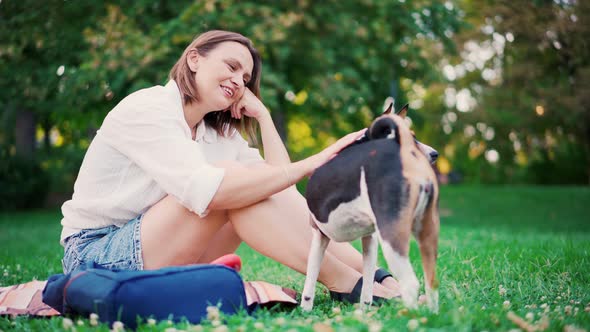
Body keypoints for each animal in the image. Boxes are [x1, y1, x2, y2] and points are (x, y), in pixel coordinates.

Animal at [302, 104, 442, 312]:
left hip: (392, 238)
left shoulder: (320, 236)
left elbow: (310, 278)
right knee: (431, 282)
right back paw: (432, 316)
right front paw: (365, 311)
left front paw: (305, 310)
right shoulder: (369, 239)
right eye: (413, 137)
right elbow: (367, 285)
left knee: (411, 284)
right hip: (427, 232)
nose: (434, 154)